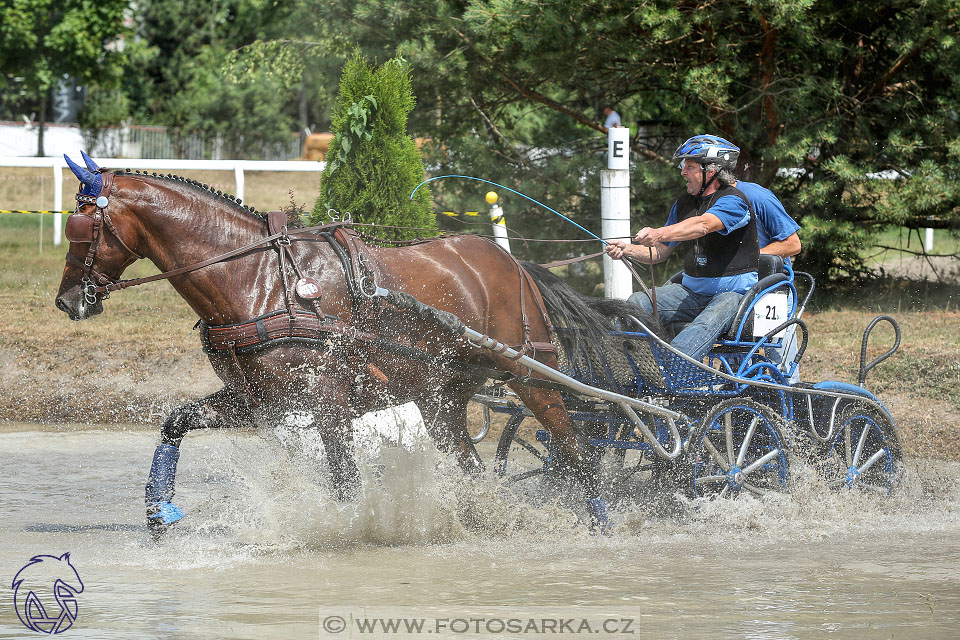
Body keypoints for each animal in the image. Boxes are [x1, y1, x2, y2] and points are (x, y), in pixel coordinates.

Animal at [56, 154, 608, 536]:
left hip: (531, 376)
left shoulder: (329, 403)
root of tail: (512, 262)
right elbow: (176, 421)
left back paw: (601, 522)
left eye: (81, 227)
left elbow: (345, 481)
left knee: (578, 454)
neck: (258, 279)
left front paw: (349, 534)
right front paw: (159, 509)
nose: (67, 300)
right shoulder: (258, 400)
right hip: (441, 398)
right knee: (472, 468)